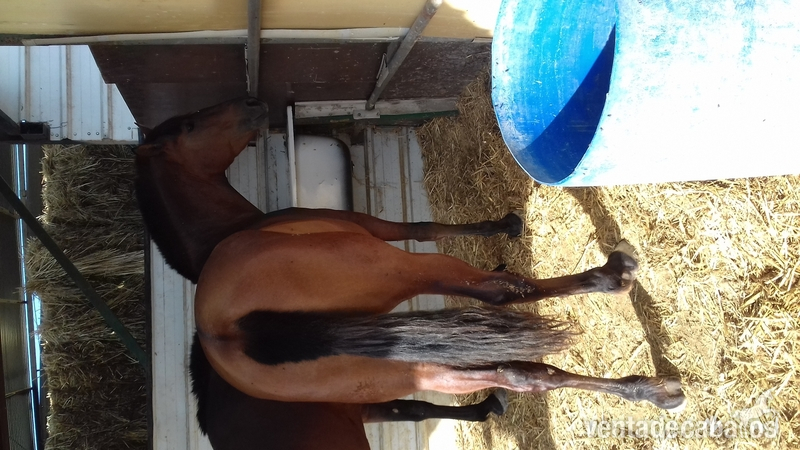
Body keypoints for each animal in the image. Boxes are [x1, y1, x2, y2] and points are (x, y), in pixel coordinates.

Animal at [134, 97, 686, 449]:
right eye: (187, 126)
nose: (251, 103)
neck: (226, 235)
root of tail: (229, 331)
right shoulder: (374, 228)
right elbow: (422, 227)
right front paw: (506, 226)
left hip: (394, 369)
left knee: (514, 372)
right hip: (405, 272)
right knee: (506, 305)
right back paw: (625, 305)